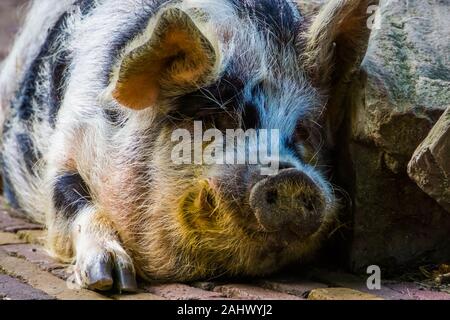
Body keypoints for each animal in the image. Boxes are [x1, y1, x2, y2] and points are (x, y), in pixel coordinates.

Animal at [0, 0, 378, 292]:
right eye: (216, 119)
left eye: (303, 131)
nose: (289, 178)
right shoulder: (69, 142)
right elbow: (71, 200)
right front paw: (112, 280)